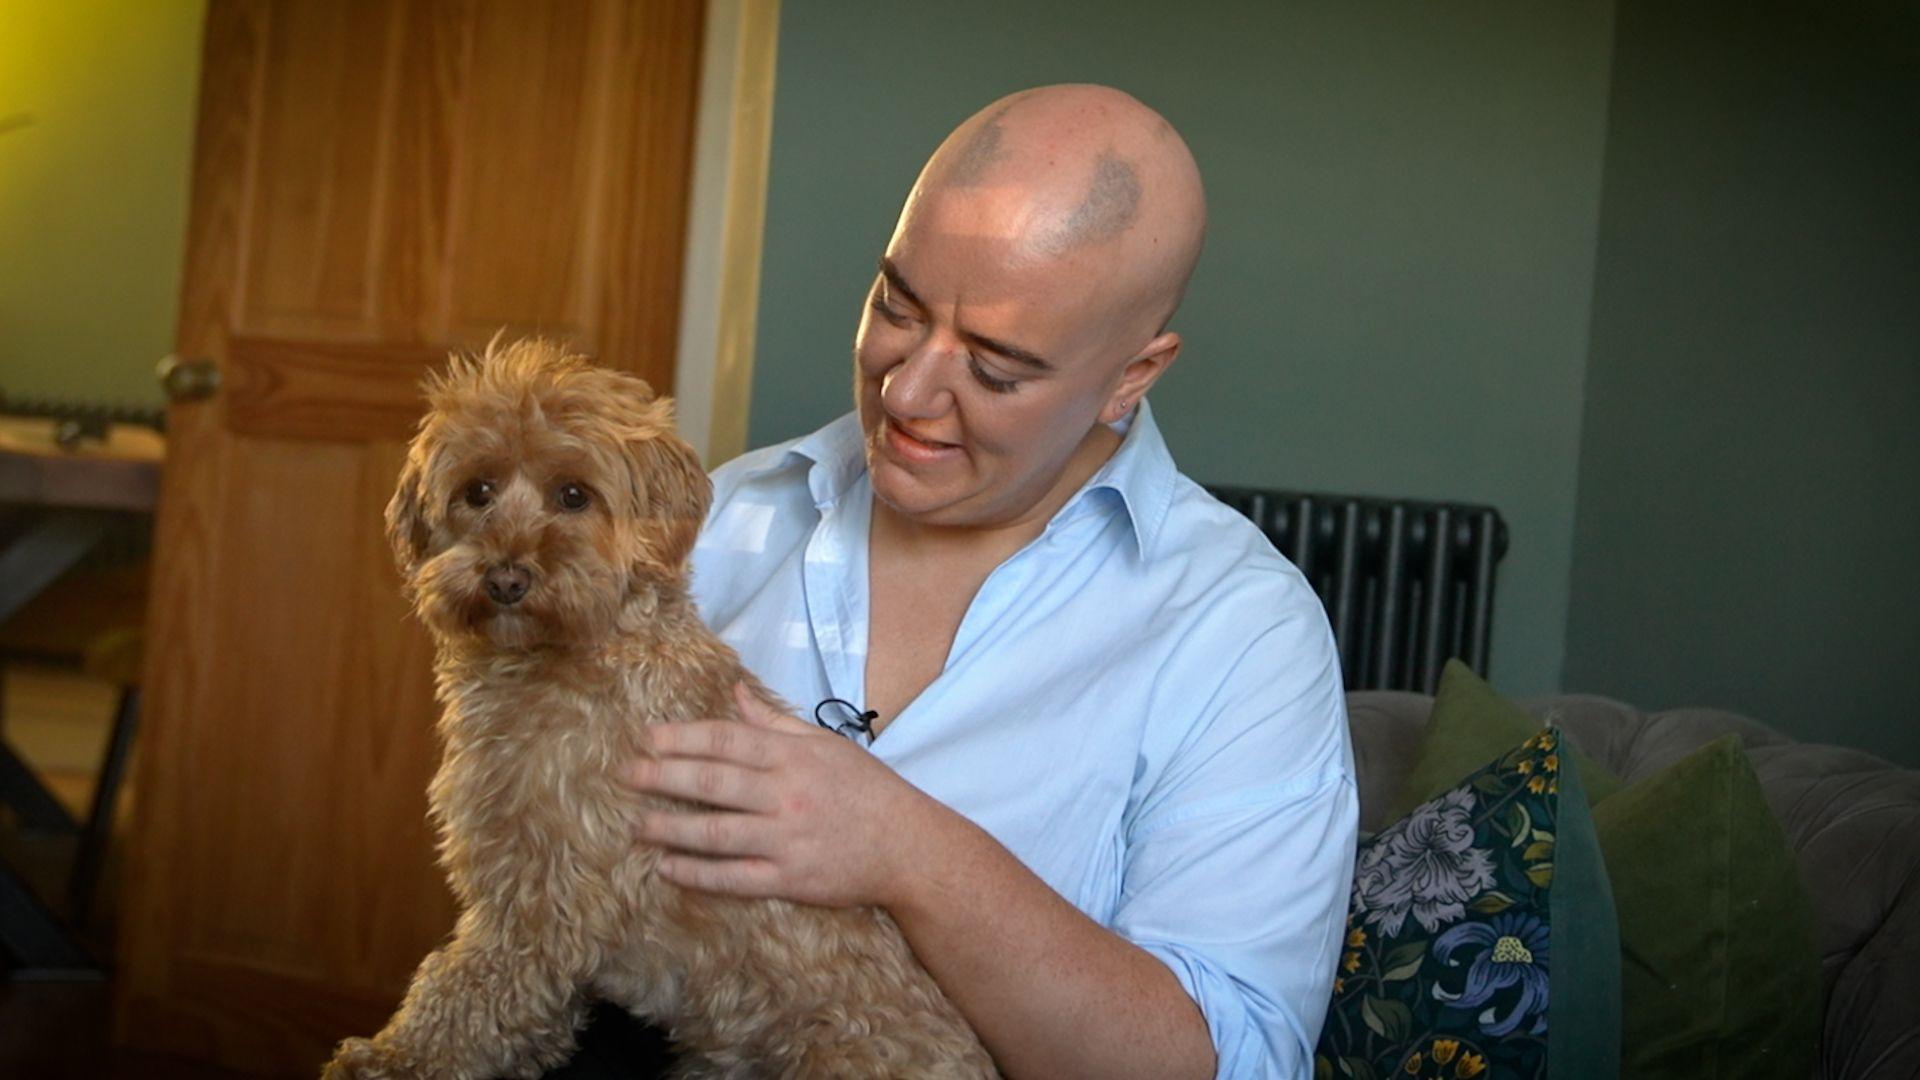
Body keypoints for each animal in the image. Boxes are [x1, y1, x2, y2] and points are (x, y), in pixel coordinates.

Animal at [322, 340, 990, 1076]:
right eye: (479, 491)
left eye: (574, 495)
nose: (506, 578)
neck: (573, 657)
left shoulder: (542, 900)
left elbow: (469, 991)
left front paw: (392, 1057)